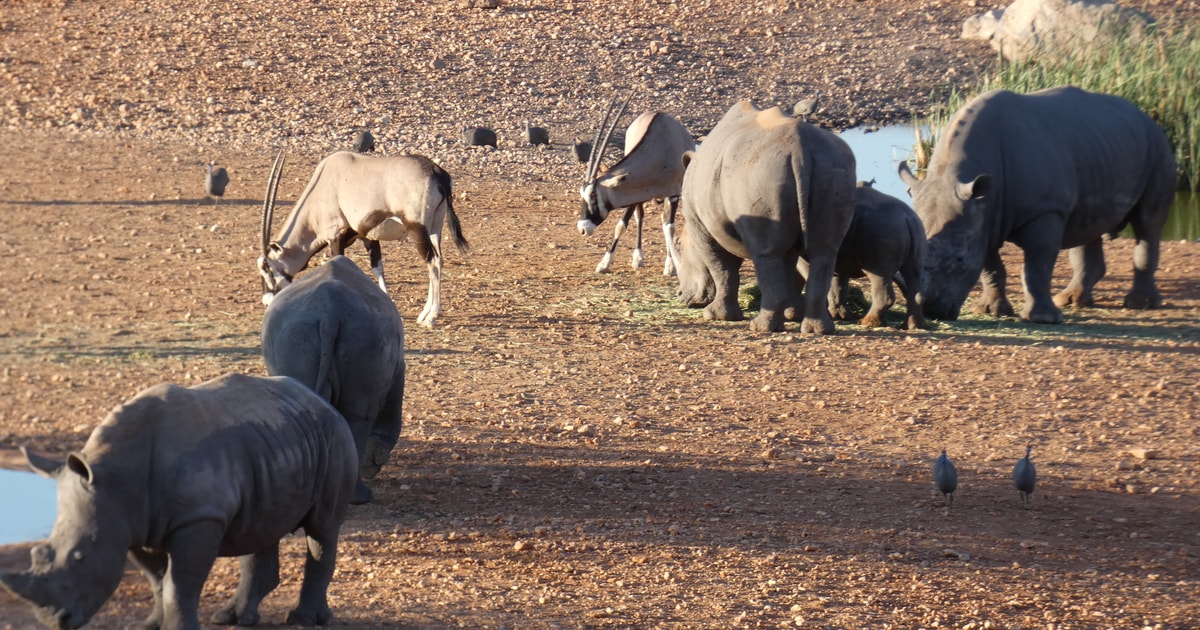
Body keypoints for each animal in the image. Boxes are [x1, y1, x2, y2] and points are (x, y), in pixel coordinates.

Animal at [0, 374, 355, 628]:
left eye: (80, 557)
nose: (54, 621)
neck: (116, 476)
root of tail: (319, 399)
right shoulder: (131, 521)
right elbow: (157, 579)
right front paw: (152, 625)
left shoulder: (198, 517)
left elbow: (180, 583)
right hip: (273, 441)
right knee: (261, 524)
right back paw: (233, 619)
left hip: (333, 436)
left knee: (322, 527)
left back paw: (304, 620)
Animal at [258, 147, 468, 324]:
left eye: (268, 269)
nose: (267, 301)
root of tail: (436, 171)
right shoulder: (367, 236)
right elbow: (377, 268)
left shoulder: (335, 237)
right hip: (435, 228)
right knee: (438, 260)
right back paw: (427, 312)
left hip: (418, 229)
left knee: (432, 262)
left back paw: (430, 316)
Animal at [578, 97, 696, 272]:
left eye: (593, 196)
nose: (582, 228)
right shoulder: (634, 191)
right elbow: (621, 225)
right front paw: (604, 263)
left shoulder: (674, 194)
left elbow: (669, 227)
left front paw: (671, 266)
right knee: (640, 216)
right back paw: (638, 257)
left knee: (663, 221)